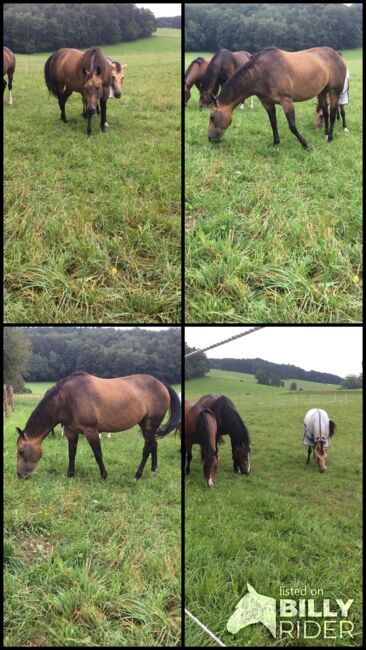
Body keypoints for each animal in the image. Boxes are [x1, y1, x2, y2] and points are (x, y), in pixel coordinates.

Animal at [16, 372, 182, 478]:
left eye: (21, 451)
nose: (19, 475)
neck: (68, 398)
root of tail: (161, 384)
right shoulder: (71, 431)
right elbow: (71, 453)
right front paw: (70, 474)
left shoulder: (91, 431)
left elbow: (98, 454)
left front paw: (104, 475)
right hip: (146, 426)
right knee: (154, 444)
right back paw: (154, 470)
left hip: (149, 426)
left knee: (147, 448)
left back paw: (138, 474)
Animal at [209, 46, 348, 148]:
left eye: (212, 117)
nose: (210, 138)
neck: (263, 73)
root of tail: (337, 54)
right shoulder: (267, 103)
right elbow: (273, 123)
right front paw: (275, 143)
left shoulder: (286, 101)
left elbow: (292, 126)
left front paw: (306, 145)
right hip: (322, 92)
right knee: (325, 112)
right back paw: (326, 134)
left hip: (334, 92)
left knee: (332, 113)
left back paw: (330, 138)